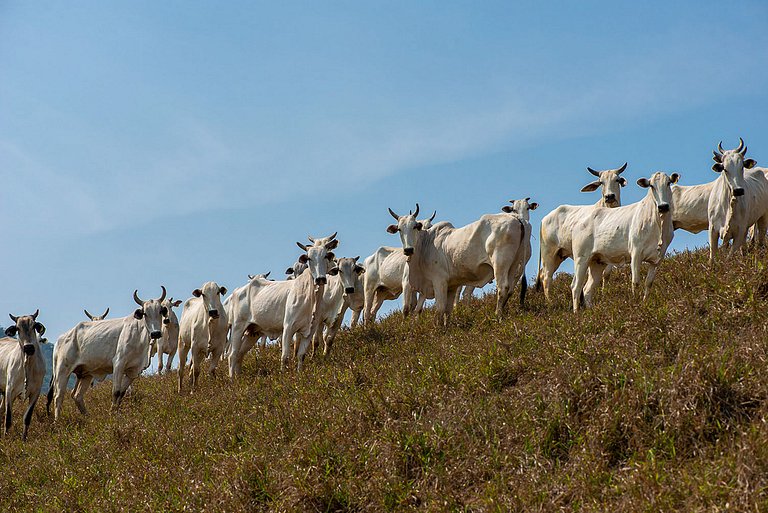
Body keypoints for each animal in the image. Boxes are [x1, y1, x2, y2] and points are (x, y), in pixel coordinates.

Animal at [0, 312, 46, 440]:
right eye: (17, 328)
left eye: (34, 326)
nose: (28, 347)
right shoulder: (10, 390)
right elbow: (8, 418)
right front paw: (6, 438)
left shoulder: (35, 392)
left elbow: (27, 417)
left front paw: (24, 439)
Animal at [49, 286, 168, 418]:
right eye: (145, 313)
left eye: (160, 311)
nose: (156, 333)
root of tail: (61, 338)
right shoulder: (119, 363)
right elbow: (116, 392)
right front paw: (112, 415)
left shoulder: (133, 371)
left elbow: (122, 393)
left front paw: (116, 413)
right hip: (62, 371)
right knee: (58, 396)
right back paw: (57, 420)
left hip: (86, 374)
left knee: (77, 396)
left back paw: (88, 417)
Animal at [388, 203, 532, 324]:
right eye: (399, 229)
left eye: (414, 226)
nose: (408, 250)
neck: (426, 244)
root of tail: (516, 218)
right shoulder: (451, 285)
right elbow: (447, 311)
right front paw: (446, 327)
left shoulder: (439, 281)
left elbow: (440, 309)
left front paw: (437, 330)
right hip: (515, 264)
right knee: (510, 289)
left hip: (500, 263)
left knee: (503, 288)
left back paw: (497, 316)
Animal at [536, 163, 628, 300]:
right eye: (601, 182)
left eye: (617, 180)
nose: (609, 196)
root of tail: (545, 218)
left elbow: (606, 274)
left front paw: (604, 294)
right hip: (549, 253)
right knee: (547, 277)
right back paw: (550, 302)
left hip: (559, 255)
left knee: (543, 275)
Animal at [568, 172, 680, 310]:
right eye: (651, 186)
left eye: (668, 183)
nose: (663, 206)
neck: (659, 224)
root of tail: (579, 221)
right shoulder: (636, 253)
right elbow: (635, 281)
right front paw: (635, 304)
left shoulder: (658, 258)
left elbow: (649, 282)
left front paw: (645, 303)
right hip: (581, 259)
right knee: (576, 286)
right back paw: (576, 312)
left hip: (597, 262)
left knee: (587, 289)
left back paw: (591, 312)